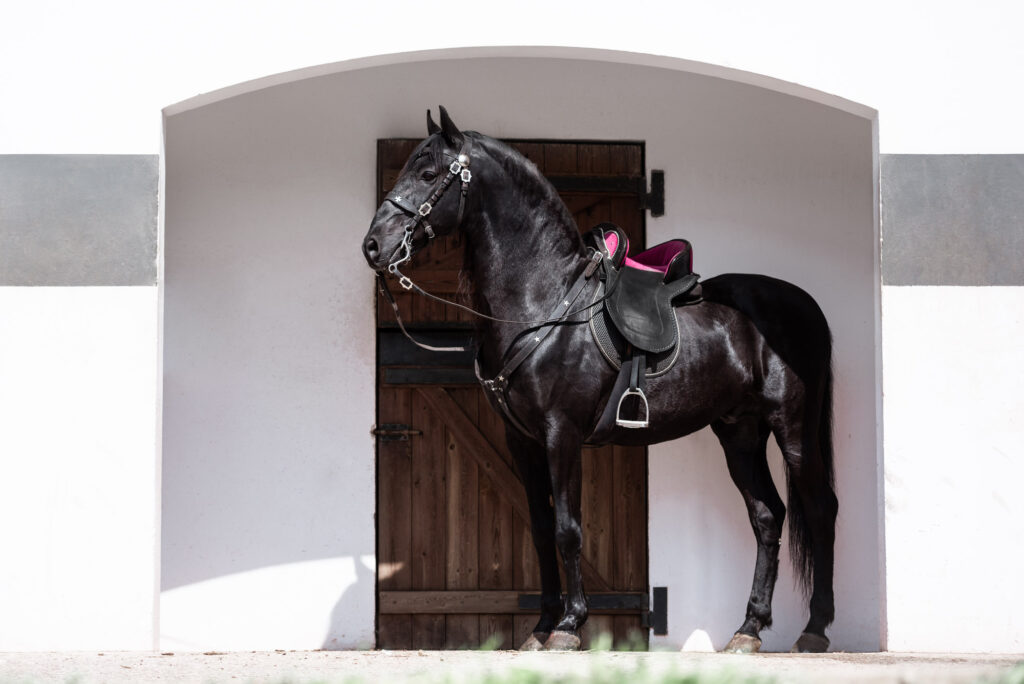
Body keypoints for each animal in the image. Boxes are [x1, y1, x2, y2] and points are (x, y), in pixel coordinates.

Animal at [362, 107, 838, 654]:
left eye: (428, 173)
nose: (373, 246)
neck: (545, 300)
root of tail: (805, 305)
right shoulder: (523, 440)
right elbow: (541, 529)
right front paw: (541, 626)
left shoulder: (561, 434)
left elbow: (569, 529)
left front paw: (569, 627)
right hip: (740, 432)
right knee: (767, 516)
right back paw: (749, 629)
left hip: (793, 428)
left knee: (819, 509)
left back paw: (815, 629)